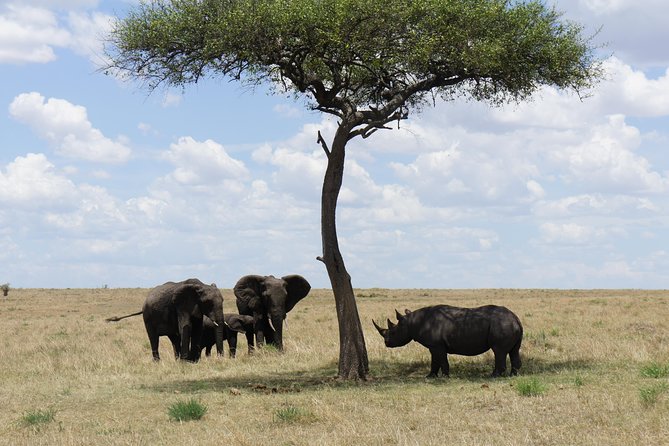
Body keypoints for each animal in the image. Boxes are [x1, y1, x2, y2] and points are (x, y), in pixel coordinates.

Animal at [373, 304, 523, 378]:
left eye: (393, 332)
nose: (386, 343)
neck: (412, 323)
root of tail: (516, 319)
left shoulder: (437, 345)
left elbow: (441, 360)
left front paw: (445, 376)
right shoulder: (434, 346)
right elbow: (434, 361)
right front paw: (430, 376)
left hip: (502, 324)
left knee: (499, 351)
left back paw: (493, 376)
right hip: (509, 324)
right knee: (513, 351)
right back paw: (513, 376)